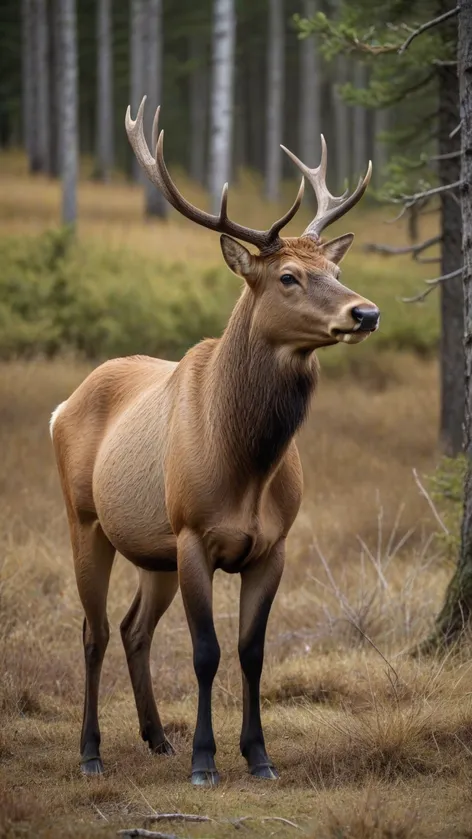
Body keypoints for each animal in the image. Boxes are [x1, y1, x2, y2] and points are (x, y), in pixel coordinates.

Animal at [48, 98, 380, 788]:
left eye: (336, 269)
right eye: (288, 276)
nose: (366, 313)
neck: (246, 467)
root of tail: (62, 405)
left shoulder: (273, 545)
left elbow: (252, 652)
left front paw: (258, 755)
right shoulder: (193, 533)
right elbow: (206, 651)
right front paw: (206, 760)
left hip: (153, 550)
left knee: (133, 628)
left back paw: (155, 738)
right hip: (86, 518)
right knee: (94, 630)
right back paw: (91, 752)